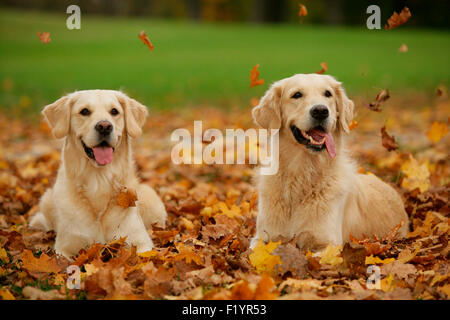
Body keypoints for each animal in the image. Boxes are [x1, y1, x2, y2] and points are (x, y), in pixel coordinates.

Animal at [29, 89, 167, 258]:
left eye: (114, 111)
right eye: (84, 111)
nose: (104, 126)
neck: (99, 180)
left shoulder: (140, 242)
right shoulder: (64, 247)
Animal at [251, 75, 410, 250]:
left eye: (328, 94)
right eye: (296, 95)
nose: (320, 111)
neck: (302, 173)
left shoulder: (327, 243)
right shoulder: (261, 238)